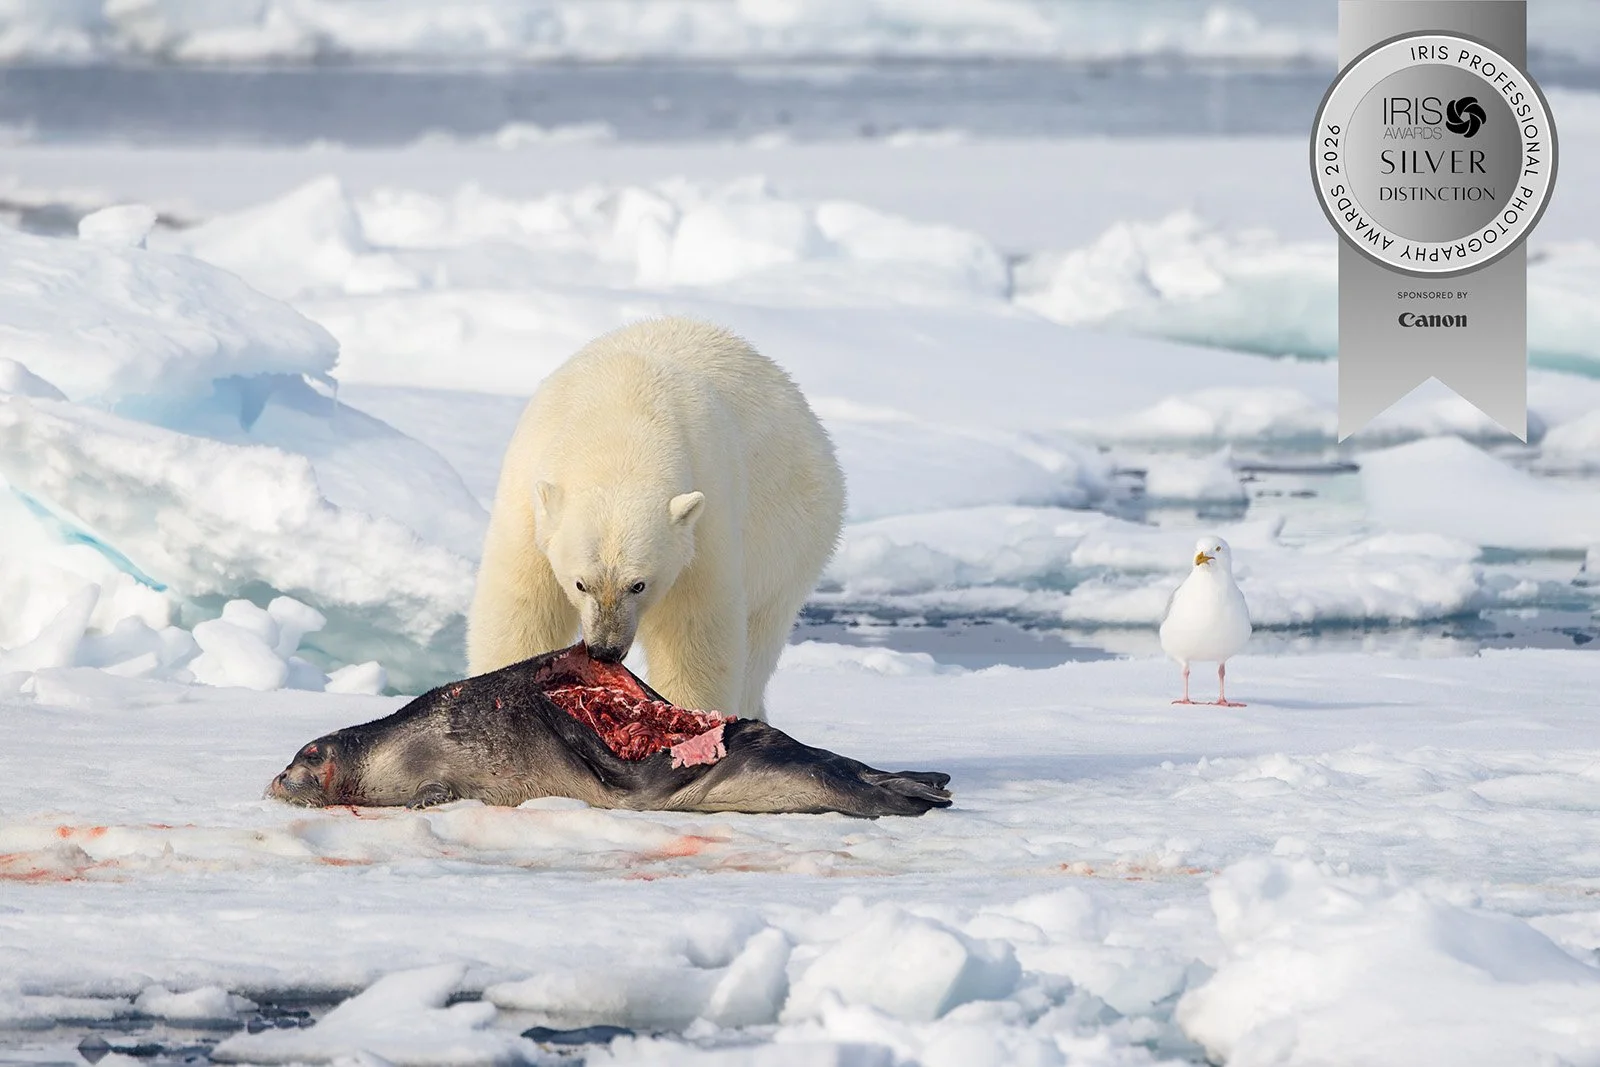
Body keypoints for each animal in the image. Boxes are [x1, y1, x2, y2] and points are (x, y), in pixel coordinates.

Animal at [467, 317, 846, 722]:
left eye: (639, 584)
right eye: (580, 583)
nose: (606, 650)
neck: (618, 424)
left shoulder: (704, 518)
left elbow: (693, 631)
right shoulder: (530, 498)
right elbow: (523, 605)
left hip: (794, 543)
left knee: (759, 642)